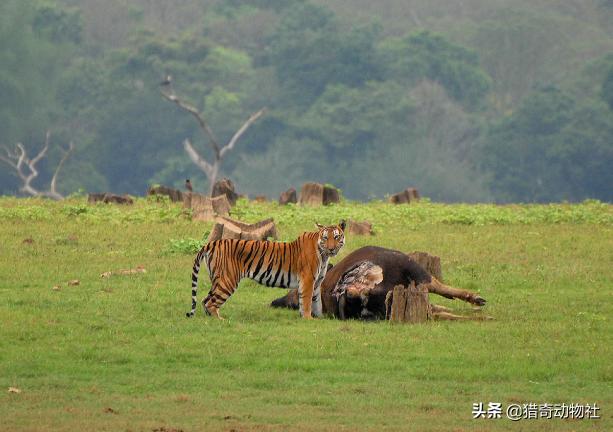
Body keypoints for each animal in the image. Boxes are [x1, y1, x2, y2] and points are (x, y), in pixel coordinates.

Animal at [186, 221, 344, 318]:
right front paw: (307, 318)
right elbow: (306, 301)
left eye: (336, 237)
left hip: (217, 279)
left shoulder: (316, 282)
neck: (323, 255)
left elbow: (316, 302)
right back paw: (221, 321)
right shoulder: (308, 280)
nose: (331, 248)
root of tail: (212, 243)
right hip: (227, 280)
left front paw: (318, 318)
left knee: (205, 300)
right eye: (325, 238)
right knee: (210, 302)